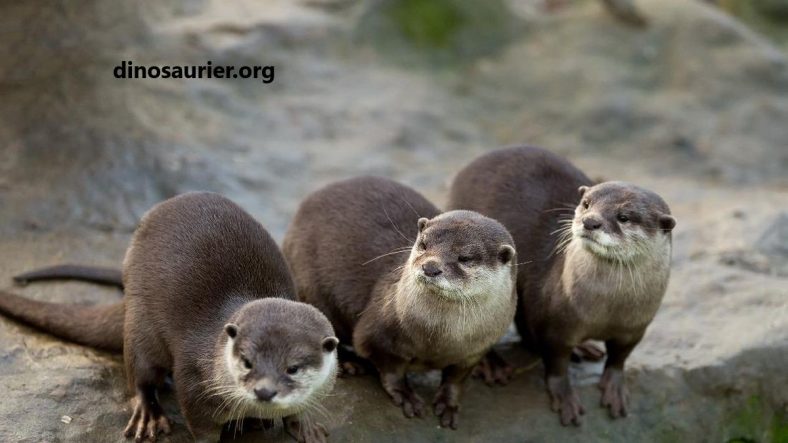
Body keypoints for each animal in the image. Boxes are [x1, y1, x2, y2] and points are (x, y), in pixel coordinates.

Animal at [0, 193, 338, 443]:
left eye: (293, 368)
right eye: (247, 362)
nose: (264, 391)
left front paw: (305, 426)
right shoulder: (194, 383)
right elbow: (201, 429)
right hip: (140, 324)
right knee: (139, 374)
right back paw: (148, 415)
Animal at [284, 177, 516, 430]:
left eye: (464, 258)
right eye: (423, 244)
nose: (430, 266)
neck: (439, 340)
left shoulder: (475, 350)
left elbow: (457, 378)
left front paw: (449, 403)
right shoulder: (378, 334)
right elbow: (390, 368)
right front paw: (406, 395)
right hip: (309, 286)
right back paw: (348, 363)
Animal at [446, 148, 676, 426]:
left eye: (624, 217)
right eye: (586, 203)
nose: (590, 221)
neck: (607, 309)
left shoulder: (636, 327)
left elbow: (620, 357)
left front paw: (615, 387)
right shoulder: (555, 323)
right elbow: (556, 362)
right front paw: (565, 397)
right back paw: (492, 365)